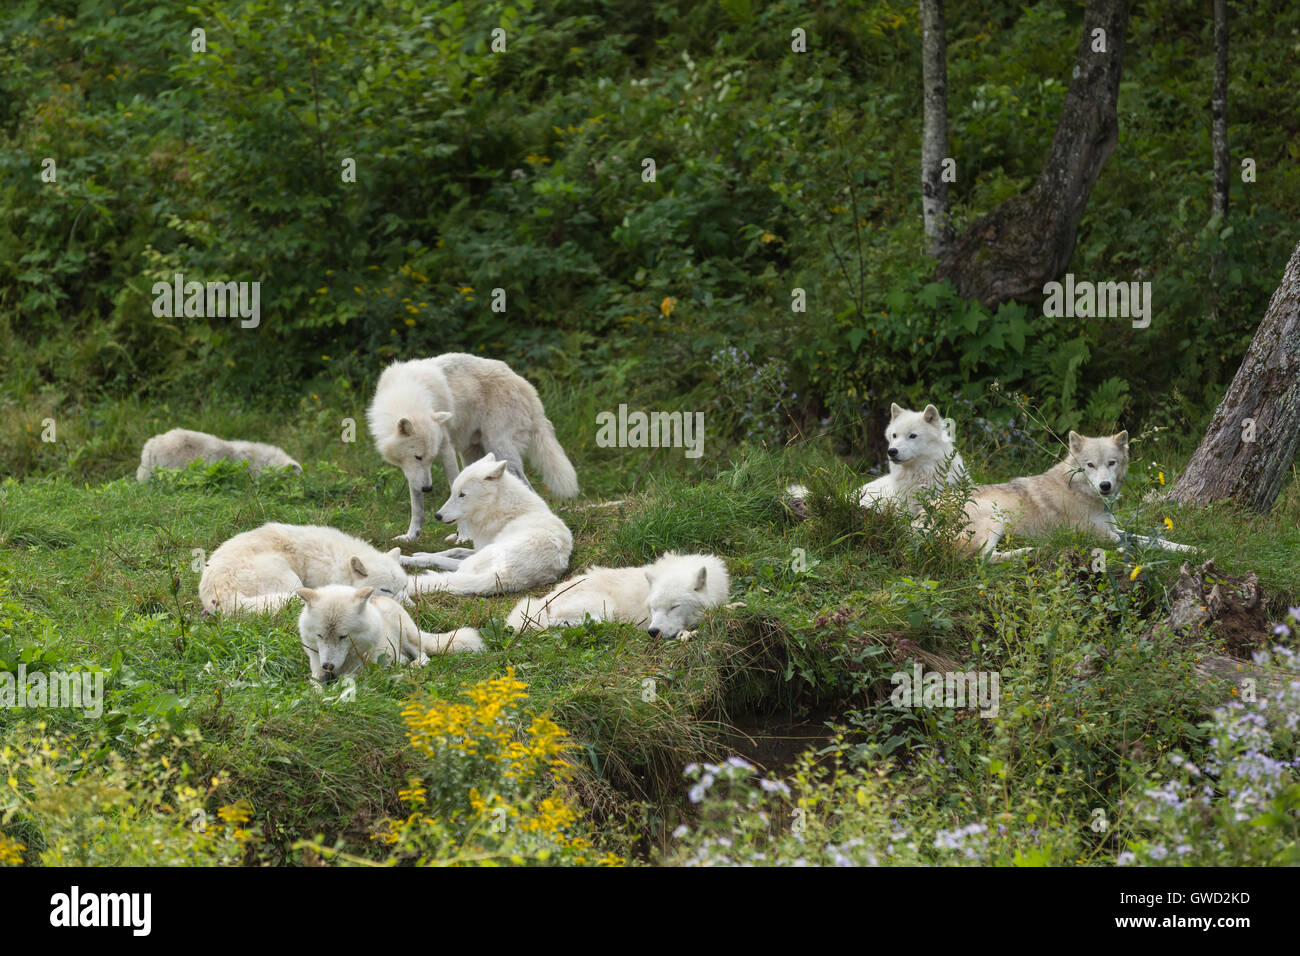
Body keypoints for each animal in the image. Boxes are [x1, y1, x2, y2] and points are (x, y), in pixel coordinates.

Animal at [199, 523, 409, 614]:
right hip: (292, 582)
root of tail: (222, 594)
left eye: (404, 587)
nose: (410, 608)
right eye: (386, 590)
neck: (336, 560)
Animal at [296, 584, 484, 684]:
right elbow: (315, 683)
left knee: (423, 654)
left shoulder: (357, 672)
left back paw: (415, 664)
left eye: (343, 636)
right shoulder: (317, 668)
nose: (328, 665)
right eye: (320, 636)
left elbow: (344, 682)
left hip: (405, 634)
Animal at [367, 353, 579, 542]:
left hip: (499, 450)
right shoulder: (414, 472)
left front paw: (465, 536)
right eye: (419, 457)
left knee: (527, 489)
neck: (407, 396)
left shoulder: (446, 449)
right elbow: (416, 505)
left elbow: (455, 489)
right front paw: (411, 536)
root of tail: (527, 388)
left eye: (431, 458)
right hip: (473, 456)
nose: (428, 488)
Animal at [402, 454, 573, 596]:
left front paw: (416, 556)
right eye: (453, 493)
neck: (497, 508)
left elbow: (440, 557)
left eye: (462, 495)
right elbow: (454, 549)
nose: (437, 516)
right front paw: (422, 552)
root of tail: (505, 576)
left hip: (475, 561)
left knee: (451, 569)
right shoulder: (478, 547)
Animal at [957, 430, 1198, 562]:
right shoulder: (1098, 534)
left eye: (1112, 462)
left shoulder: (1112, 527)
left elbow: (1153, 539)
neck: (1079, 492)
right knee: (983, 559)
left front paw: (1193, 548)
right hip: (996, 516)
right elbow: (1131, 541)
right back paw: (1029, 550)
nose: (1105, 485)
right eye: (1090, 465)